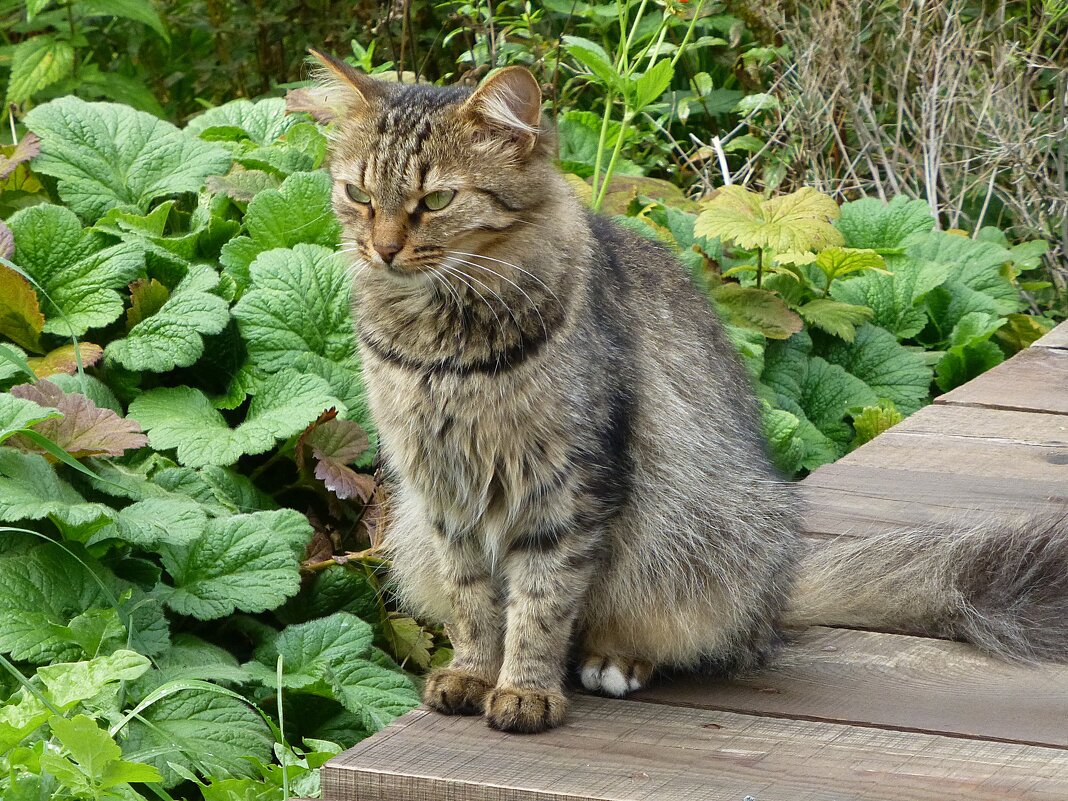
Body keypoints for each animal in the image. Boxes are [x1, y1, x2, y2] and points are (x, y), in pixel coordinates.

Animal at [309, 51, 1068, 734]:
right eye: (359, 195)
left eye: (436, 200)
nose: (382, 249)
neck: (439, 345)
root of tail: (780, 584)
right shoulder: (445, 490)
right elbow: (474, 605)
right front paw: (472, 673)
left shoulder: (568, 484)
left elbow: (540, 603)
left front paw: (524, 689)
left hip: (703, 529)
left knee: (680, 635)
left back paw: (615, 661)